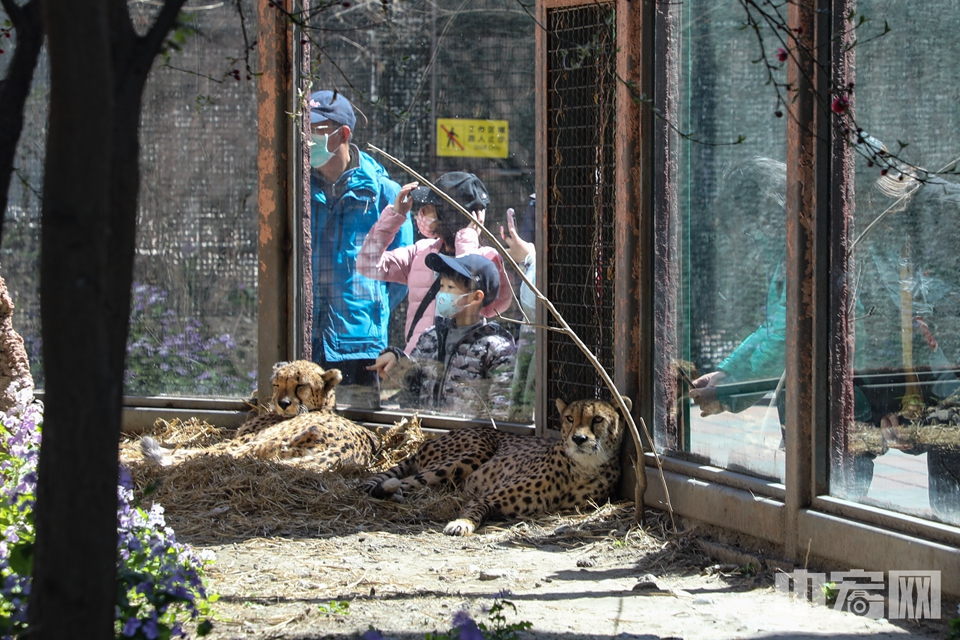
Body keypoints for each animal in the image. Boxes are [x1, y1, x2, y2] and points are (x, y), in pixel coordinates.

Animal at [364, 398, 628, 532]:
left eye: (597, 419)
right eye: (570, 418)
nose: (579, 439)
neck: (582, 467)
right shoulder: (485, 497)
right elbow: (474, 508)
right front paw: (461, 524)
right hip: (473, 452)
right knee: (406, 481)